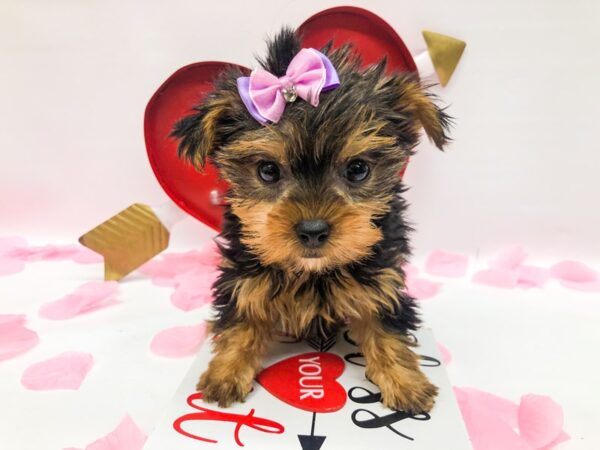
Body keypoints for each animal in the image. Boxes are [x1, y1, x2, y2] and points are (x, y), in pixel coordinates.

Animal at [172, 29, 450, 414]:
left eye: (358, 169)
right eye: (268, 171)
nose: (313, 231)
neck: (312, 272)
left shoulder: (382, 277)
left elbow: (385, 323)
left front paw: (405, 381)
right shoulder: (243, 273)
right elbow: (243, 317)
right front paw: (225, 372)